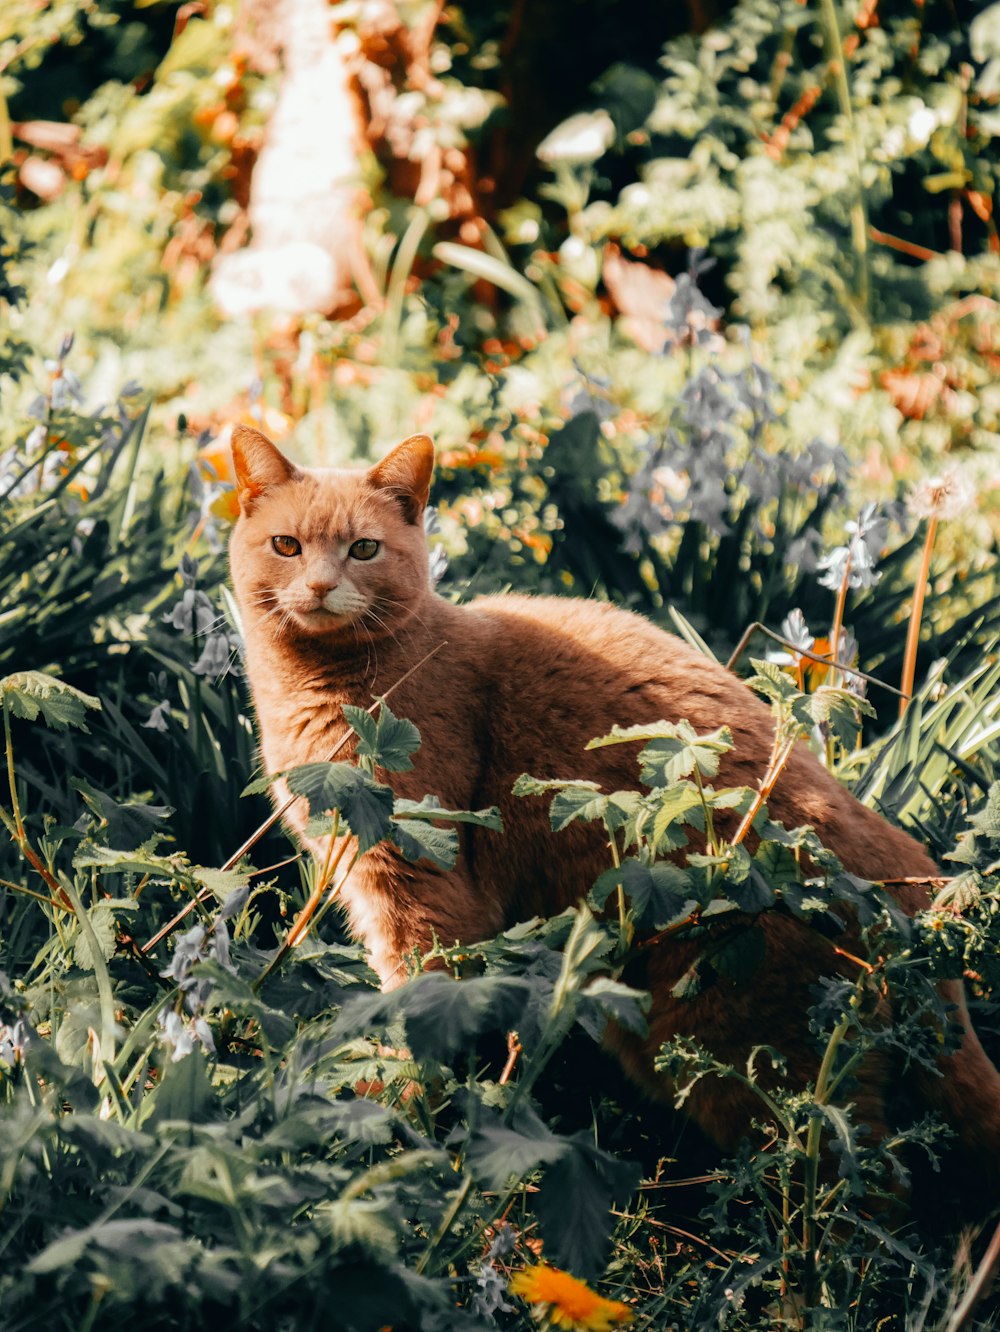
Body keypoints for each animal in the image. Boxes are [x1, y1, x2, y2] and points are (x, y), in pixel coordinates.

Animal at [230, 423, 1000, 1166]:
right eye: (287, 546)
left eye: (363, 549)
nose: (321, 586)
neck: (325, 687)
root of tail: (914, 890)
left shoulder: (422, 882)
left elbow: (416, 1005)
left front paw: (388, 1107)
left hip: (734, 1041)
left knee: (841, 1173)